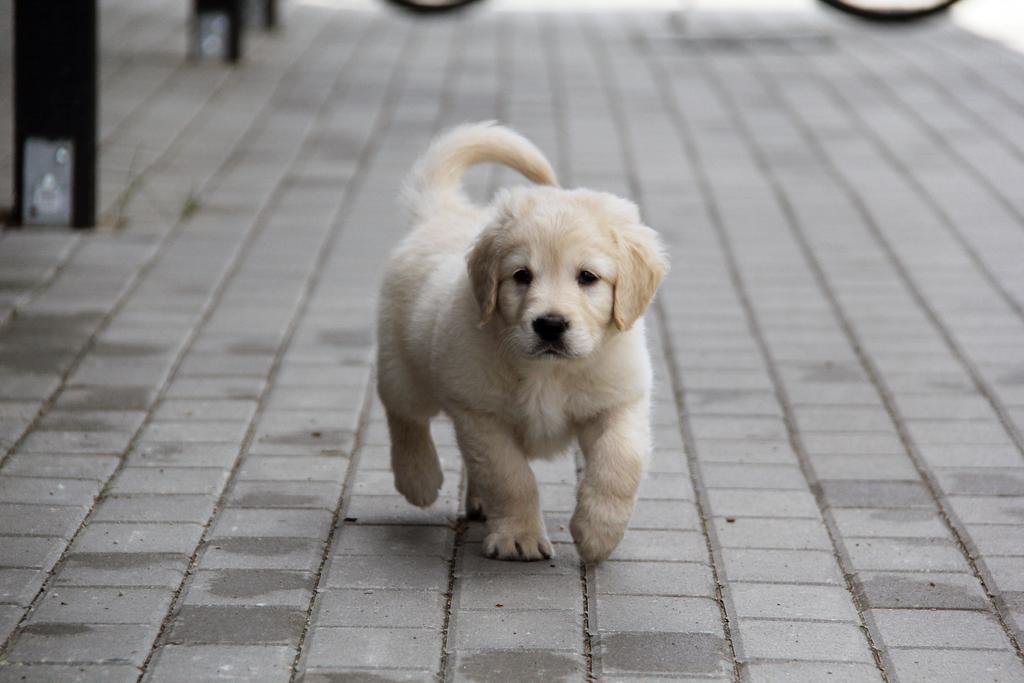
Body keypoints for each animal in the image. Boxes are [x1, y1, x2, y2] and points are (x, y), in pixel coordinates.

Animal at [376, 125, 663, 565]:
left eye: (588, 277)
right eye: (521, 275)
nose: (550, 325)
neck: (549, 371)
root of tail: (441, 215)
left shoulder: (620, 399)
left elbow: (621, 462)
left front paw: (599, 532)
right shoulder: (480, 413)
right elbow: (509, 477)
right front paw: (519, 537)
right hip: (403, 365)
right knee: (404, 414)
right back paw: (418, 476)